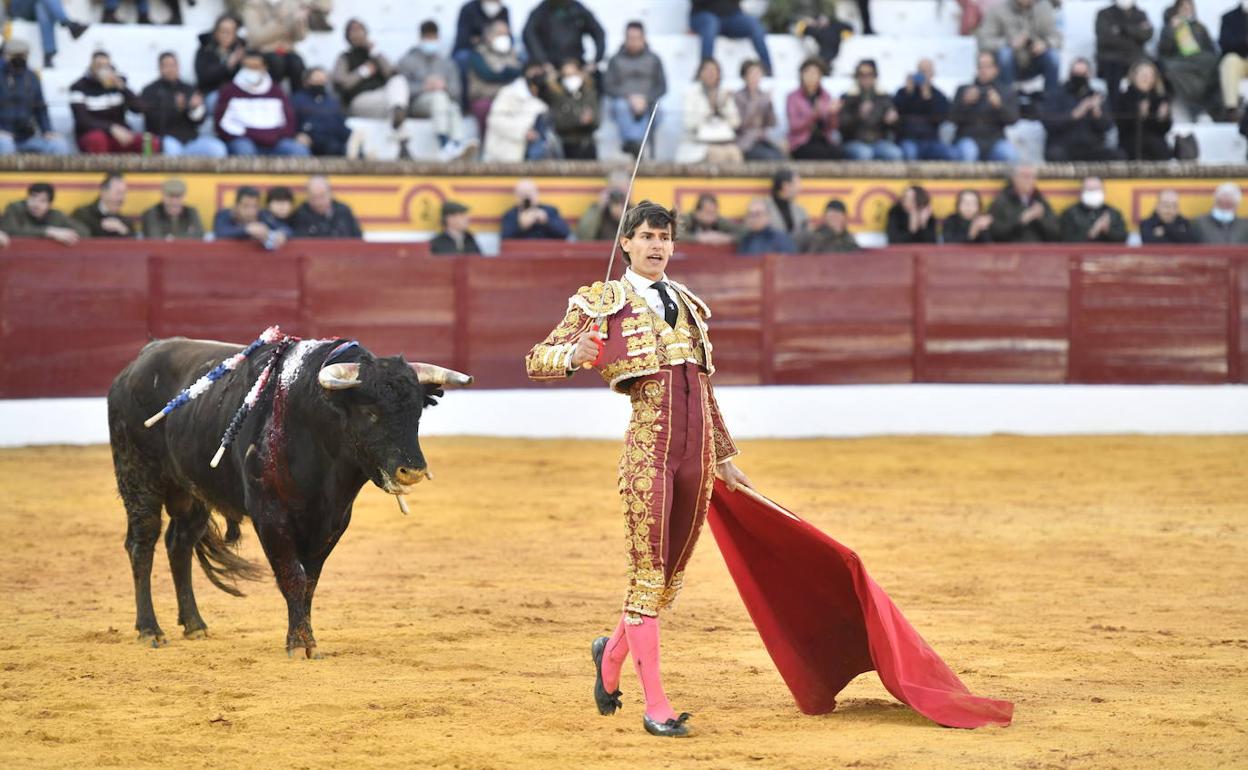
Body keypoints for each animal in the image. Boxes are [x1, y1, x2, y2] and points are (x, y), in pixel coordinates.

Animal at [104, 334, 469, 653]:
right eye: (370, 412)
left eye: (417, 413)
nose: (413, 470)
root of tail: (139, 360)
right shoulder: (269, 515)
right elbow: (292, 574)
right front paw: (299, 644)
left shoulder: (332, 521)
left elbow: (310, 581)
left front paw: (306, 637)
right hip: (138, 476)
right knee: (142, 544)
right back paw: (150, 630)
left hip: (193, 491)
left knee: (179, 543)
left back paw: (195, 625)